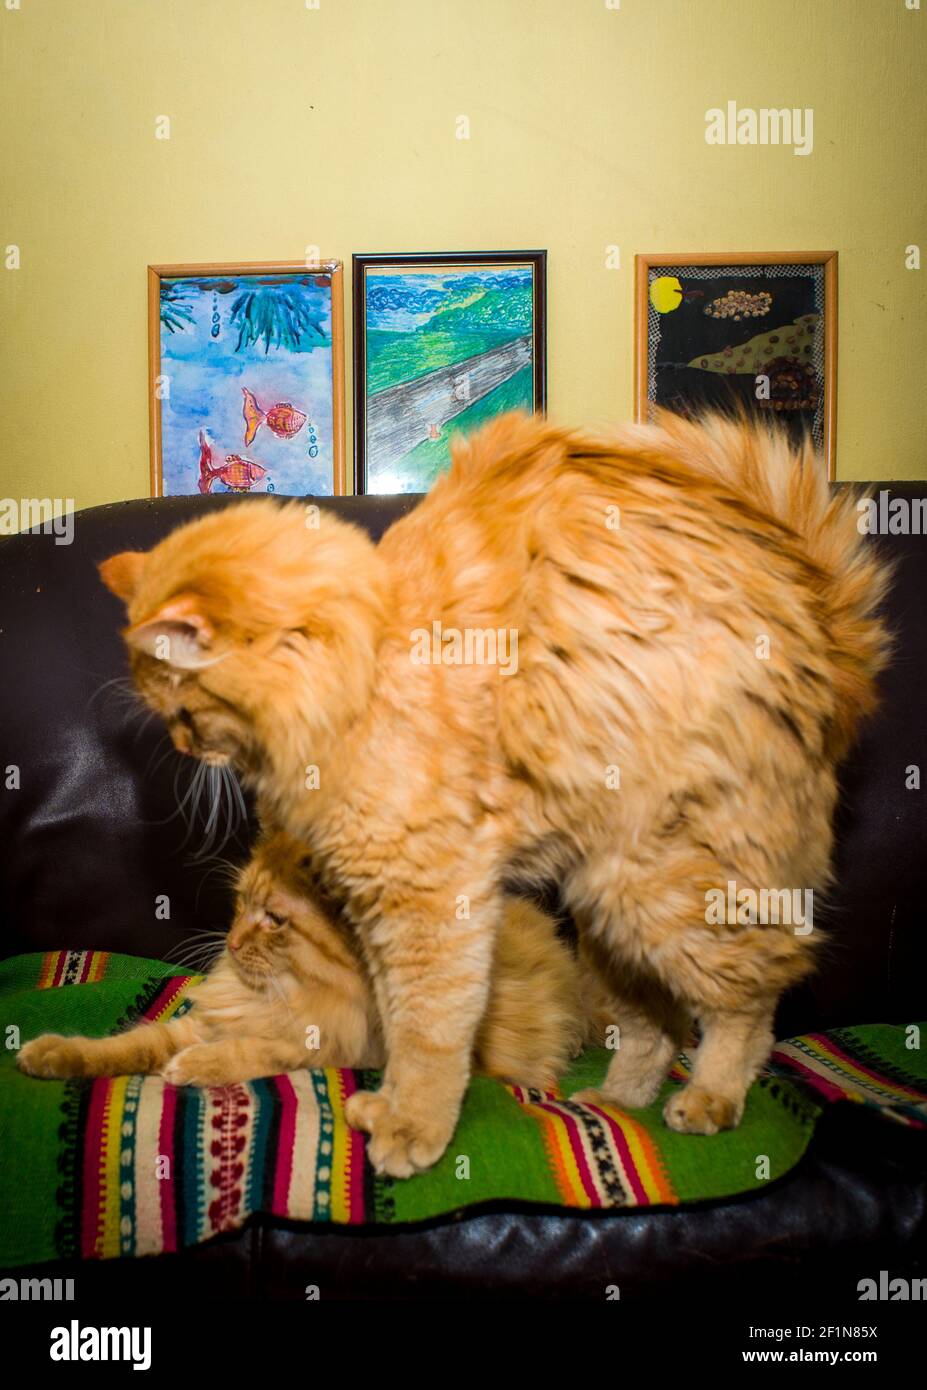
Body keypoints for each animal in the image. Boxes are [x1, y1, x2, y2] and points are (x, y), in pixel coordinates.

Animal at [18, 828, 583, 1089]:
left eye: (274, 920)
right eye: (240, 903)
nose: (231, 942)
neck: (286, 997)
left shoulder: (344, 1051)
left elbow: (259, 1053)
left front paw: (196, 1067)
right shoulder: (199, 1025)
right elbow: (125, 1046)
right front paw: (51, 1054)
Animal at [94, 408, 889, 1173]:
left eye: (179, 703)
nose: (181, 745)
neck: (365, 671)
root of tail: (825, 628)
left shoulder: (431, 903)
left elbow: (428, 1031)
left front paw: (411, 1127)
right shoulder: (380, 913)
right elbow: (393, 1019)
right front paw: (390, 1103)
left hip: (663, 895)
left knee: (752, 1002)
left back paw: (710, 1097)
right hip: (605, 916)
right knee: (658, 1024)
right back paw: (615, 1100)